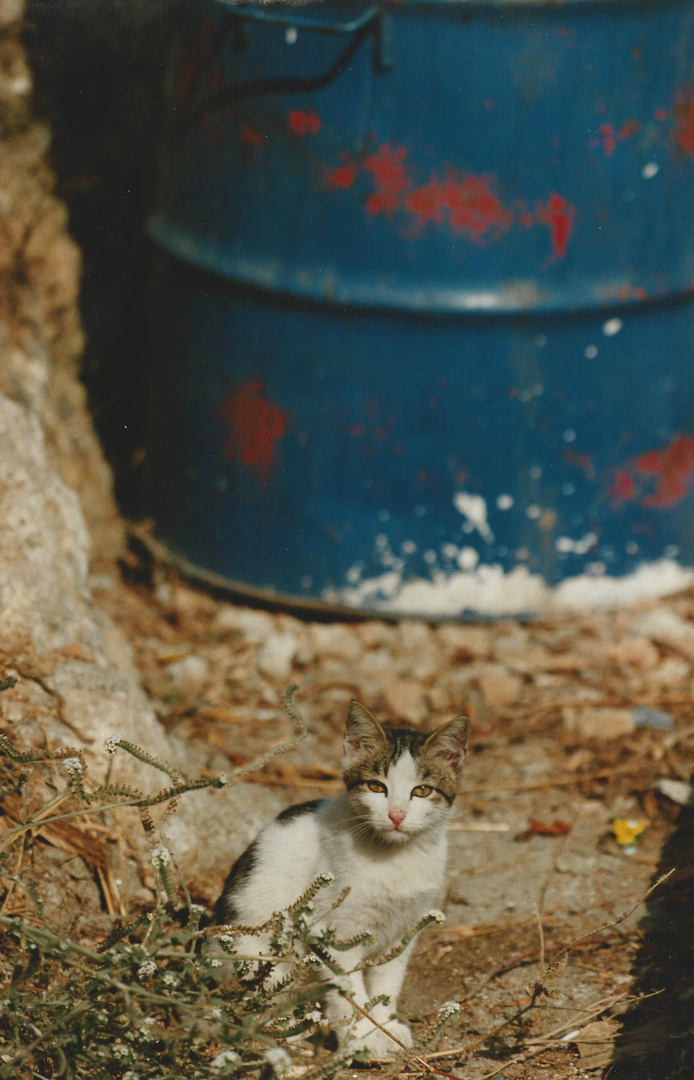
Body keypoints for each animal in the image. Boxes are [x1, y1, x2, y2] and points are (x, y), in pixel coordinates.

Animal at [214, 695, 470, 1058]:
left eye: (422, 791)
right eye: (376, 786)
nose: (396, 815)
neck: (394, 856)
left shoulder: (403, 930)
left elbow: (387, 982)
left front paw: (385, 1026)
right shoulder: (329, 932)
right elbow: (346, 989)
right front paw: (361, 1037)